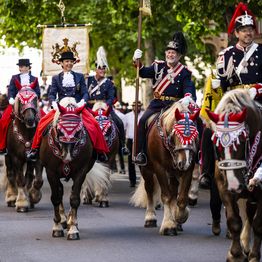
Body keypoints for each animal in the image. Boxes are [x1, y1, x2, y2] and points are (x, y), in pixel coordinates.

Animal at [39, 97, 109, 239]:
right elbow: (55, 197)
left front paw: (73, 228)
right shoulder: (51, 172)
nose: (67, 157)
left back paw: (70, 221)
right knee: (60, 192)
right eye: (59, 129)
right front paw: (57, 227)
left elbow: (74, 198)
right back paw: (62, 220)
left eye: (78, 131)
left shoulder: (81, 172)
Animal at [132, 100, 200, 235]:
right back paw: (150, 218)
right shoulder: (160, 169)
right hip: (146, 170)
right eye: (176, 134)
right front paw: (168, 225)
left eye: (196, 136)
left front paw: (179, 217)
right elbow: (166, 196)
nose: (184, 162)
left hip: (173, 172)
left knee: (173, 192)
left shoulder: (188, 170)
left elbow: (181, 198)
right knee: (149, 189)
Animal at [207, 88, 262, 262]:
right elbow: (234, 220)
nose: (234, 185)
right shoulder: (224, 188)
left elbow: (258, 224)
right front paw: (235, 254)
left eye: (243, 140)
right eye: (216, 143)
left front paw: (254, 256)